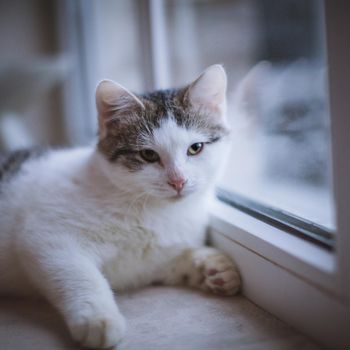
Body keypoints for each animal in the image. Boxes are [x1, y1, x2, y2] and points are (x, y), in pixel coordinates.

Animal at [0, 65, 241, 348]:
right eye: (148, 155)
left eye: (195, 148)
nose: (178, 181)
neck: (153, 210)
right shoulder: (46, 237)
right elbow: (79, 275)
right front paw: (97, 319)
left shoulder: (147, 264)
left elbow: (174, 260)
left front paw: (212, 265)